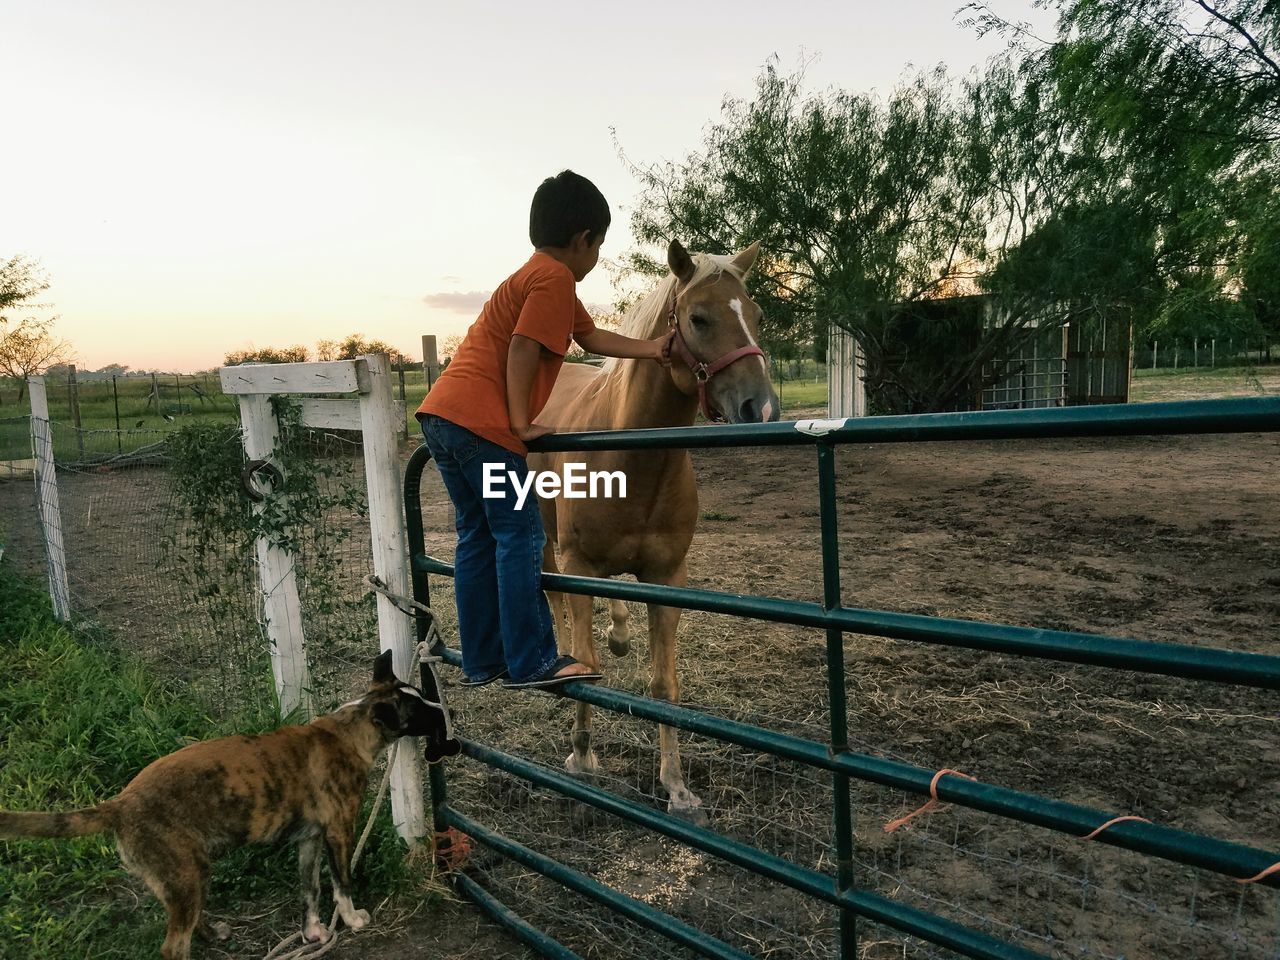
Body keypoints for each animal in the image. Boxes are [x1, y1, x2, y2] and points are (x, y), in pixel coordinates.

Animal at [0, 655, 445, 960]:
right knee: (172, 946)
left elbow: (310, 891)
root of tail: (119, 804)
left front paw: (313, 934)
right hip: (187, 876)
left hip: (187, 878)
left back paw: (214, 934)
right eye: (418, 709)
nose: (448, 710)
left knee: (188, 923)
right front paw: (352, 922)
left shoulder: (309, 841)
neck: (350, 730)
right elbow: (342, 885)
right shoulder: (339, 833)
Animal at [529, 240, 778, 819]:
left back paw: (620, 631)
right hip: (548, 542)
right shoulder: (578, 564)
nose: (761, 406)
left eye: (756, 317)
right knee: (553, 596)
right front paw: (582, 756)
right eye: (699, 318)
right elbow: (589, 664)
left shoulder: (668, 578)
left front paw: (677, 785)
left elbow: (664, 685)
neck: (630, 458)